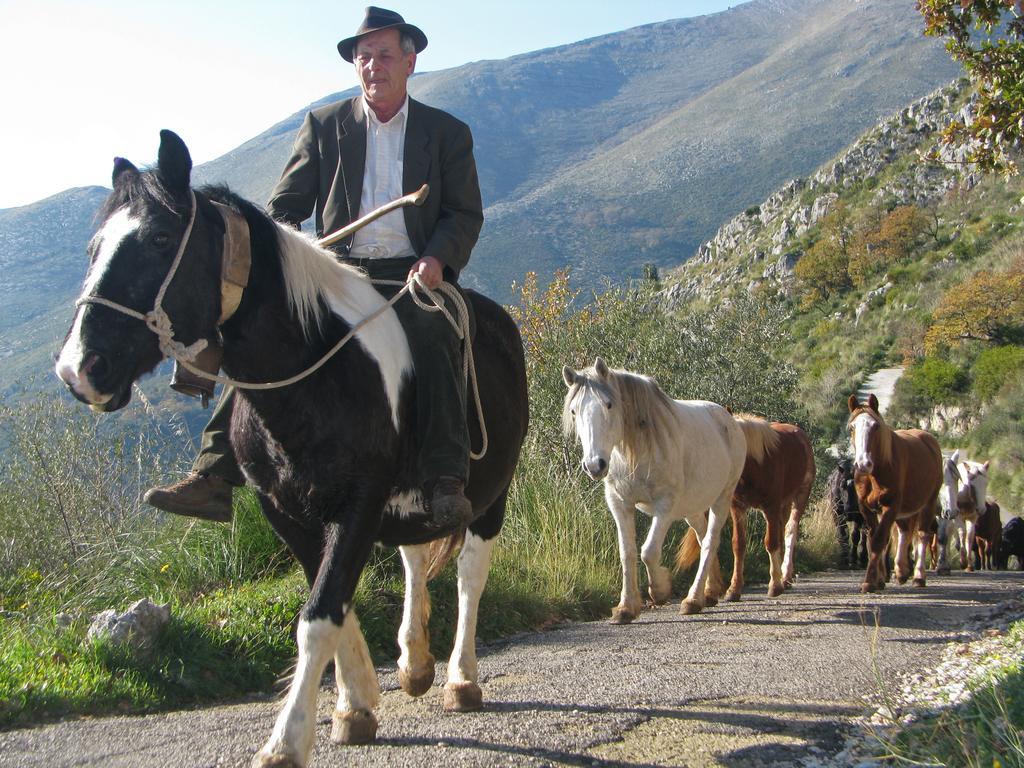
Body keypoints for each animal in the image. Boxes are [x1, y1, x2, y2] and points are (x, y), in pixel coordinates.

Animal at [55, 129, 528, 765]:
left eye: (158, 238)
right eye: (94, 246)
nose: (79, 369)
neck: (315, 372)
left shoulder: (358, 505)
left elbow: (321, 614)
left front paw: (287, 739)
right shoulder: (285, 510)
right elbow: (334, 602)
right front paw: (355, 704)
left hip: (490, 494)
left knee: (469, 574)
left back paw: (460, 678)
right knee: (413, 558)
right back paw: (414, 664)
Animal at [561, 358, 745, 622]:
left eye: (608, 404)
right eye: (574, 411)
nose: (595, 465)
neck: (634, 451)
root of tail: (728, 419)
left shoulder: (664, 506)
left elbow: (648, 551)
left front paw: (659, 591)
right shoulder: (619, 504)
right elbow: (627, 553)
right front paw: (626, 608)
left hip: (722, 499)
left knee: (710, 541)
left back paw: (692, 600)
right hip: (692, 509)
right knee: (702, 539)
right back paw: (708, 593)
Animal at [843, 393, 937, 593]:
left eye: (875, 426)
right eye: (852, 427)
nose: (863, 464)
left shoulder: (890, 506)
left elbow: (879, 540)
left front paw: (869, 581)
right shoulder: (867, 509)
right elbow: (875, 540)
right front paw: (878, 579)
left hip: (928, 503)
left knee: (922, 535)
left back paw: (918, 576)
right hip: (903, 510)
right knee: (904, 532)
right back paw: (901, 570)